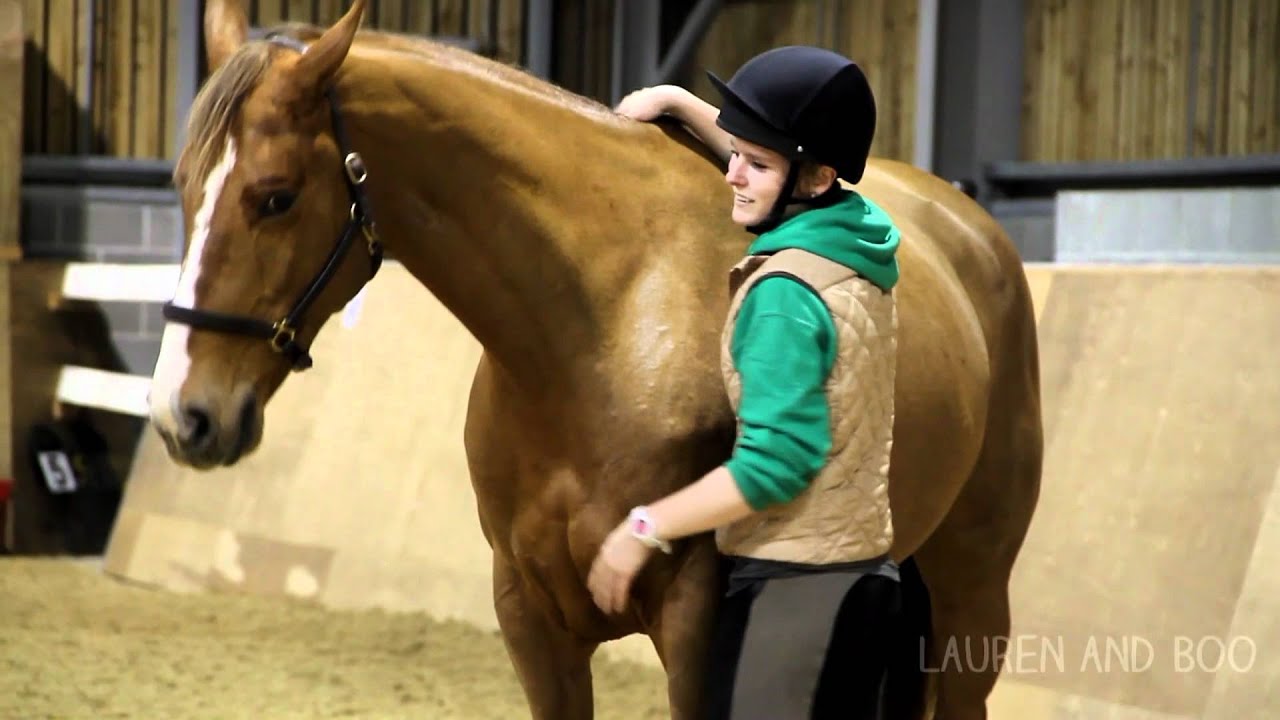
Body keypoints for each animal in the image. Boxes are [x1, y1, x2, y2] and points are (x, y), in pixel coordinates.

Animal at [146, 2, 1043, 718]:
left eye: (275, 197)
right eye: (182, 187)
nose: (183, 416)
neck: (603, 325)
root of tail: (969, 228)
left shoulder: (695, 626)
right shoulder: (529, 617)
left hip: (972, 601)